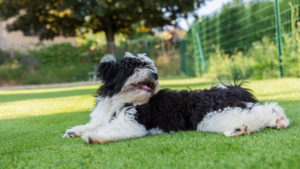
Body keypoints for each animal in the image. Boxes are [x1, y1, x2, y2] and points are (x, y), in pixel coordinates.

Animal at [63, 52, 290, 144]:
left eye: (150, 67)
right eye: (135, 67)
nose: (155, 75)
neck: (121, 99)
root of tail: (232, 89)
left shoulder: (132, 123)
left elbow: (109, 129)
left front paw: (93, 136)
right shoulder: (103, 117)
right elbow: (93, 124)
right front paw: (75, 131)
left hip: (210, 113)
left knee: (262, 110)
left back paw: (275, 120)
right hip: (214, 115)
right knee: (254, 112)